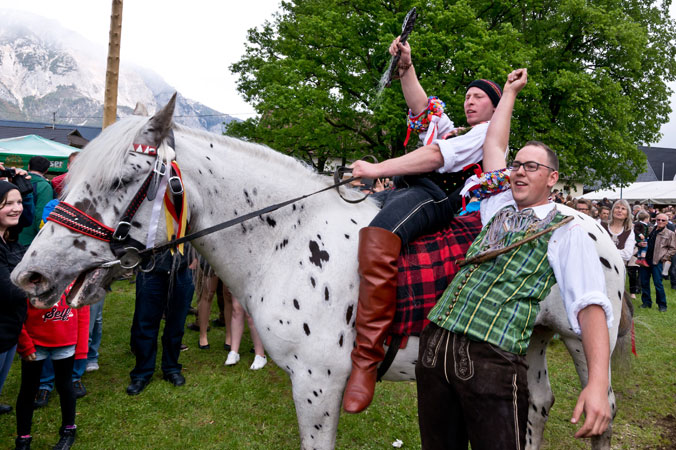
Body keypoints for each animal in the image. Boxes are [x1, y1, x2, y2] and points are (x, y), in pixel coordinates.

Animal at [11, 96, 628, 448]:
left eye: (121, 180)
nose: (29, 277)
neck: (283, 239)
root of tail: (592, 226)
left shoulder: (318, 383)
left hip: (581, 337)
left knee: (602, 411)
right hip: (534, 340)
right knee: (539, 404)